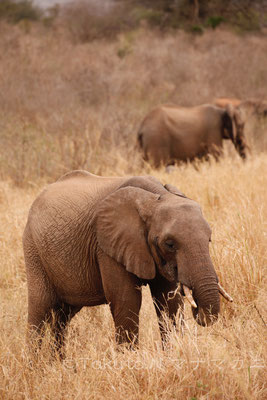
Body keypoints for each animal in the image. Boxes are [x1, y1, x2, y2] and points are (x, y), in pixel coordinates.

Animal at [23, 170, 232, 358]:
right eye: (170, 244)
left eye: (209, 239)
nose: (197, 308)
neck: (156, 197)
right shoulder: (106, 245)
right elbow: (126, 300)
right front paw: (130, 363)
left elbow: (168, 302)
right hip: (33, 248)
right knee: (40, 308)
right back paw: (36, 367)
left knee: (63, 317)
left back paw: (58, 363)